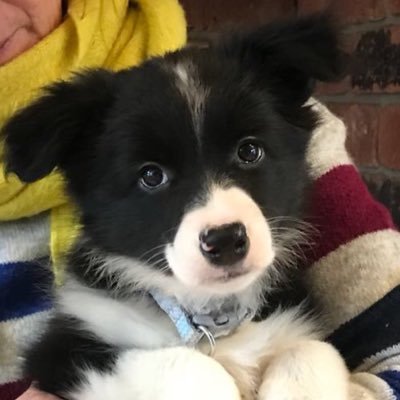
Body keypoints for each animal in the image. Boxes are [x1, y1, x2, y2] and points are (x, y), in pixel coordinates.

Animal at [2, 14, 346, 400]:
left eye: (249, 150)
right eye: (151, 175)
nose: (225, 240)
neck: (208, 312)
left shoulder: (293, 322)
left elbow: (314, 350)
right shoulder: (66, 352)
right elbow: (184, 362)